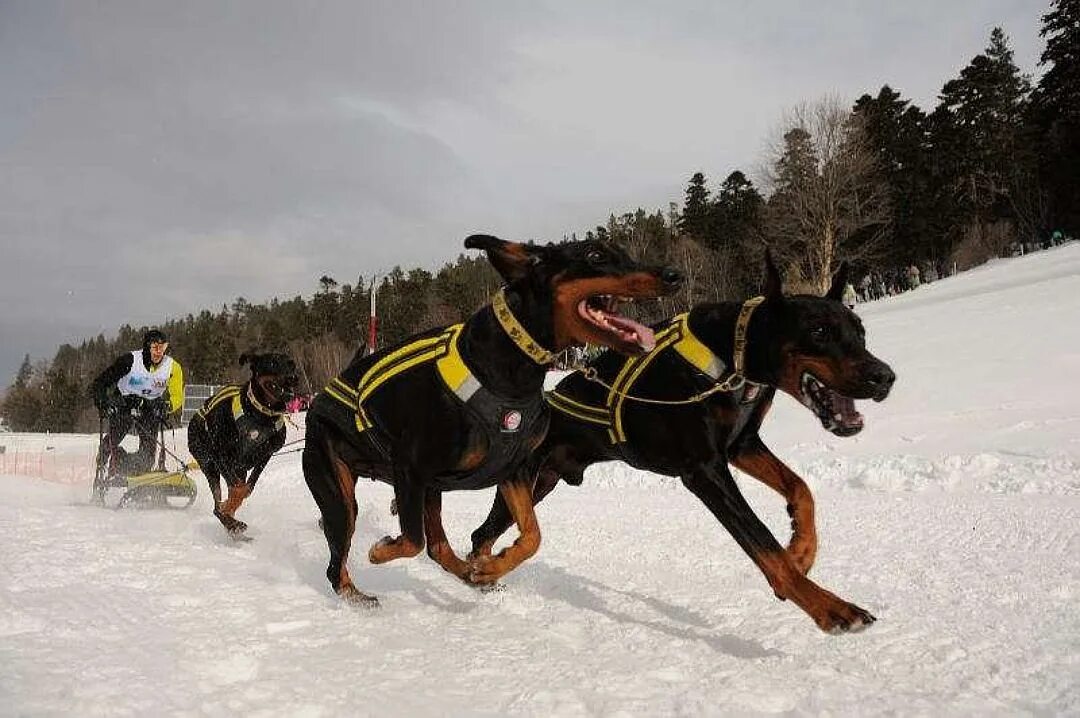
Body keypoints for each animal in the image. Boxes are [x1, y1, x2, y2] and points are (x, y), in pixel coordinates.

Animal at [187, 349, 300, 535]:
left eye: (291, 364)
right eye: (272, 363)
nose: (294, 378)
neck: (261, 416)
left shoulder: (266, 455)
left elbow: (247, 488)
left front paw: (232, 507)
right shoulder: (221, 455)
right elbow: (238, 489)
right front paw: (229, 507)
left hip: (238, 469)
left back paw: (231, 521)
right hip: (209, 465)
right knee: (216, 505)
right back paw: (229, 521)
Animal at [300, 235, 678, 604]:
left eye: (625, 251)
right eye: (595, 255)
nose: (673, 275)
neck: (506, 363)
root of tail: (318, 400)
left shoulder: (513, 468)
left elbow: (532, 535)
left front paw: (490, 566)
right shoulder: (409, 467)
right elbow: (411, 539)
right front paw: (380, 551)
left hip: (427, 489)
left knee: (437, 547)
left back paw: (471, 574)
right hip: (340, 492)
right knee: (340, 559)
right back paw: (356, 595)